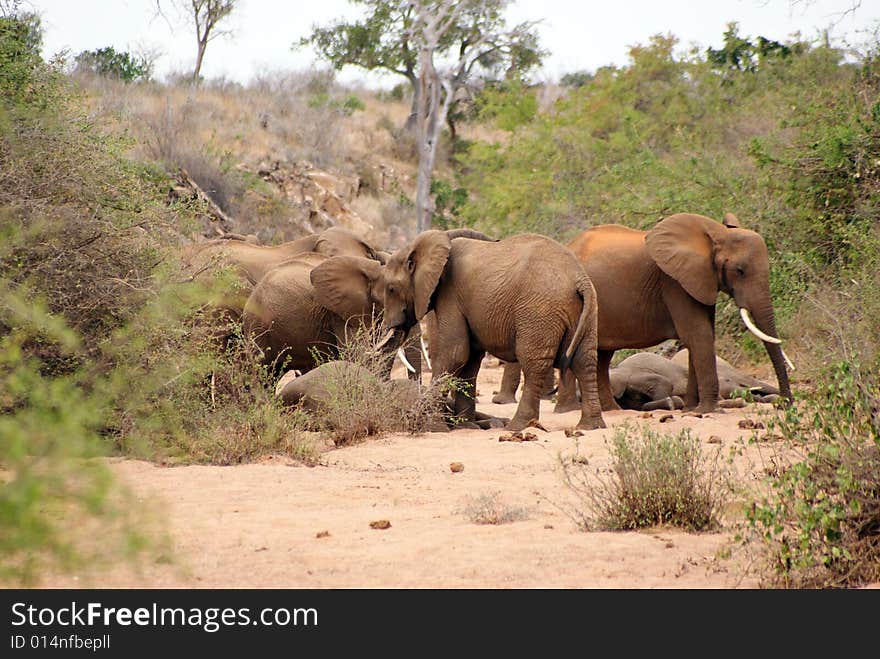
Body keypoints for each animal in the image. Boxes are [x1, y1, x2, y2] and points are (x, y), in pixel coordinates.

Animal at [380, 228, 604, 434]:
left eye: (390, 289)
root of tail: (579, 279)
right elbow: (470, 360)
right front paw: (466, 427)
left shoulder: (450, 296)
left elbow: (455, 353)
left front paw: (433, 428)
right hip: (585, 310)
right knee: (584, 361)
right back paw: (591, 426)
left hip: (539, 311)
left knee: (534, 365)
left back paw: (516, 427)